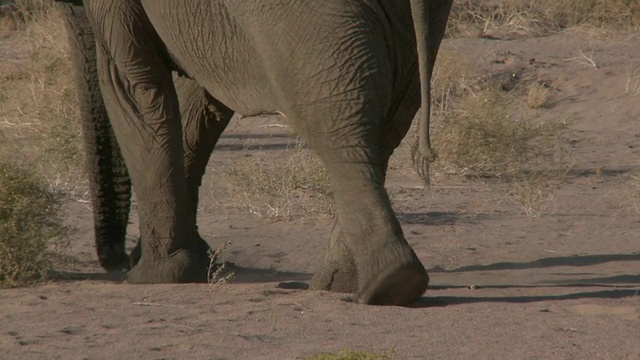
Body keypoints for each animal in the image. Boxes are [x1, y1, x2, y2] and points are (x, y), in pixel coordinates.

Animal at [57, 0, 452, 306]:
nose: (116, 261)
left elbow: (134, 88)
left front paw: (156, 274)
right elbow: (197, 100)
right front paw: (197, 261)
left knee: (335, 124)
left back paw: (387, 283)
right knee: (383, 128)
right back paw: (345, 283)